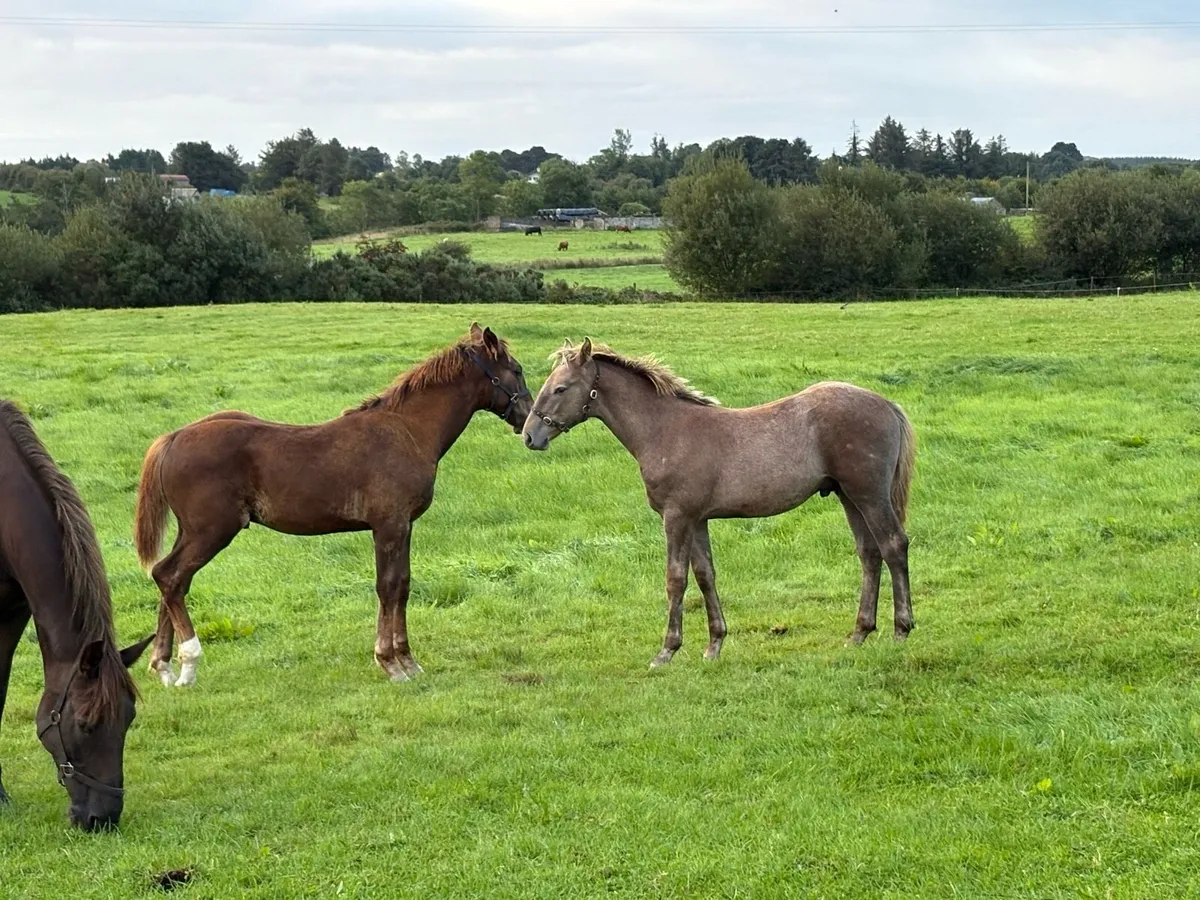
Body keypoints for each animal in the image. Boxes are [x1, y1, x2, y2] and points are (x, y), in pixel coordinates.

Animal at [133, 324, 532, 688]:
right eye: (516, 370)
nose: (529, 425)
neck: (408, 430)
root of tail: (174, 437)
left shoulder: (405, 525)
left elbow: (403, 585)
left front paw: (409, 660)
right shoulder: (388, 525)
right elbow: (387, 587)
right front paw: (390, 663)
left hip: (191, 531)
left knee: (172, 580)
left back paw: (164, 666)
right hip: (213, 530)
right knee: (170, 576)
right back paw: (188, 664)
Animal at [522, 339, 916, 668]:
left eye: (560, 388)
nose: (529, 436)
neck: (665, 430)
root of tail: (887, 404)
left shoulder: (676, 517)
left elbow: (676, 578)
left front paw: (666, 651)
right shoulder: (697, 519)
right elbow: (705, 575)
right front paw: (714, 645)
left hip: (869, 494)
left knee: (893, 545)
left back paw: (901, 630)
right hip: (848, 496)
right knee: (869, 553)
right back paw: (859, 633)